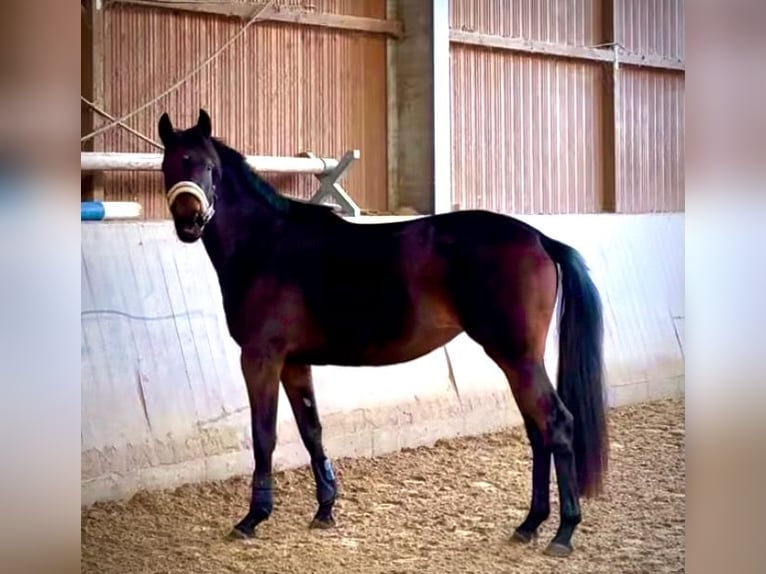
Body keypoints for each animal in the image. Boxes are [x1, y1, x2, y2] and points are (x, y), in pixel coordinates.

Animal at [158, 108, 612, 560]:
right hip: (517, 361)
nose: (189, 222)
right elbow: (311, 429)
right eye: (169, 165)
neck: (267, 244)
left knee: (556, 424)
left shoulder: (261, 359)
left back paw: (563, 531)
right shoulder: (295, 363)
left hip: (517, 357)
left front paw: (253, 517)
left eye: (209, 168)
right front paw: (325, 509)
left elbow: (263, 435)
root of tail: (540, 239)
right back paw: (530, 524)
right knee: (538, 432)